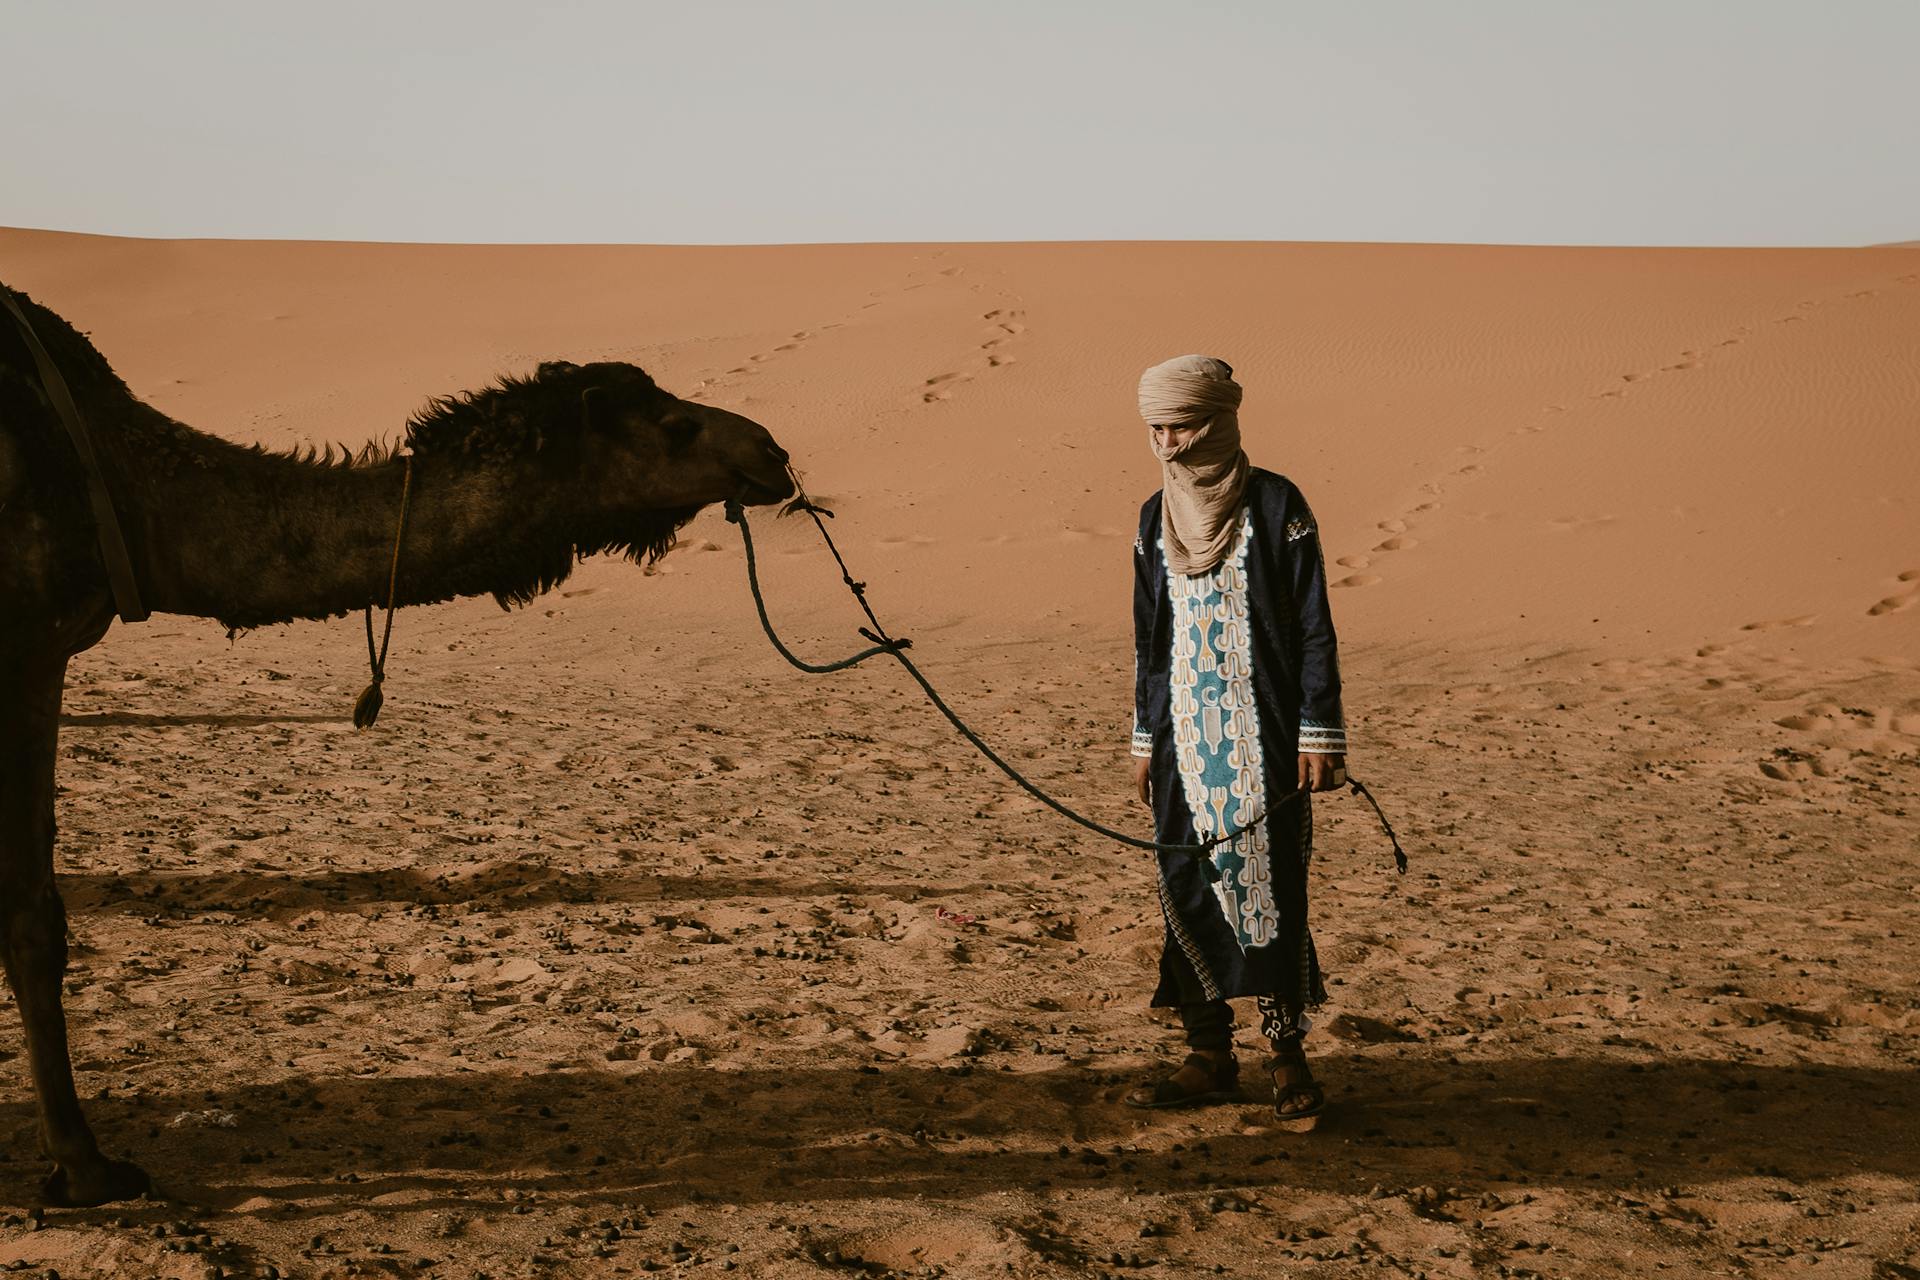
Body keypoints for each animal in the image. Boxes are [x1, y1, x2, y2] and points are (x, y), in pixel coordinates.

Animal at [0, 285, 794, 1205]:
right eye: (673, 425)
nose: (773, 451)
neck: (122, 485)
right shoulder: (24, 645)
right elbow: (30, 915)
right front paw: (86, 1167)